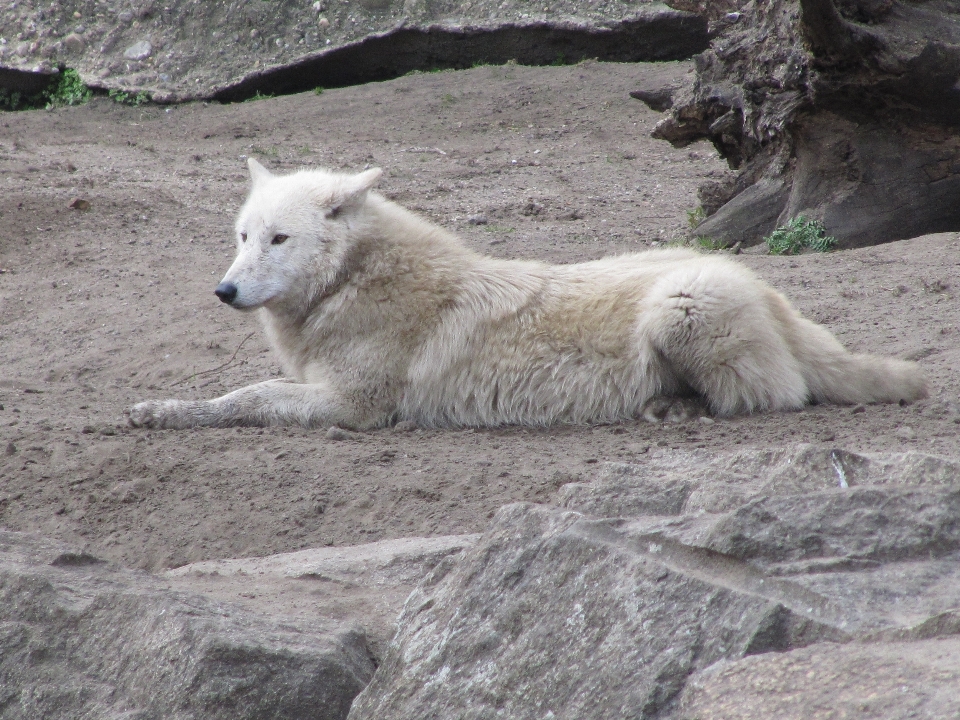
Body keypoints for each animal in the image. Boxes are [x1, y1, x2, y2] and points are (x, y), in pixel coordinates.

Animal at [127, 159, 928, 428]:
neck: (353, 283)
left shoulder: (355, 408)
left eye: (279, 240)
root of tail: (776, 296)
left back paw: (674, 410)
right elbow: (234, 393)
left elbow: (251, 398)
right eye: (242, 235)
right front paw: (158, 409)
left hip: (683, 304)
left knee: (776, 398)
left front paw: (172, 414)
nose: (224, 290)